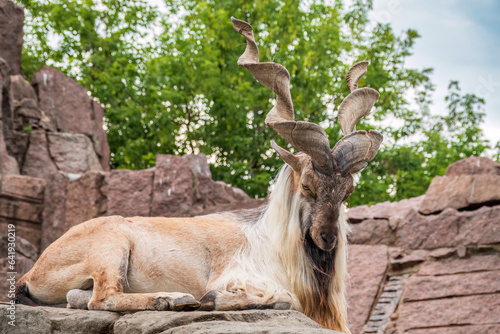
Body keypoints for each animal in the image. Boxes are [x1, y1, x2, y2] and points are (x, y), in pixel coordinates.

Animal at [15, 18, 382, 334]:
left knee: (78, 298)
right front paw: (211, 299)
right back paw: (173, 299)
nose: (328, 238)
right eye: (307, 185)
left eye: (347, 192)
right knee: (102, 298)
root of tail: (33, 271)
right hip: (111, 244)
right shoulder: (239, 276)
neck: (270, 238)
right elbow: (281, 298)